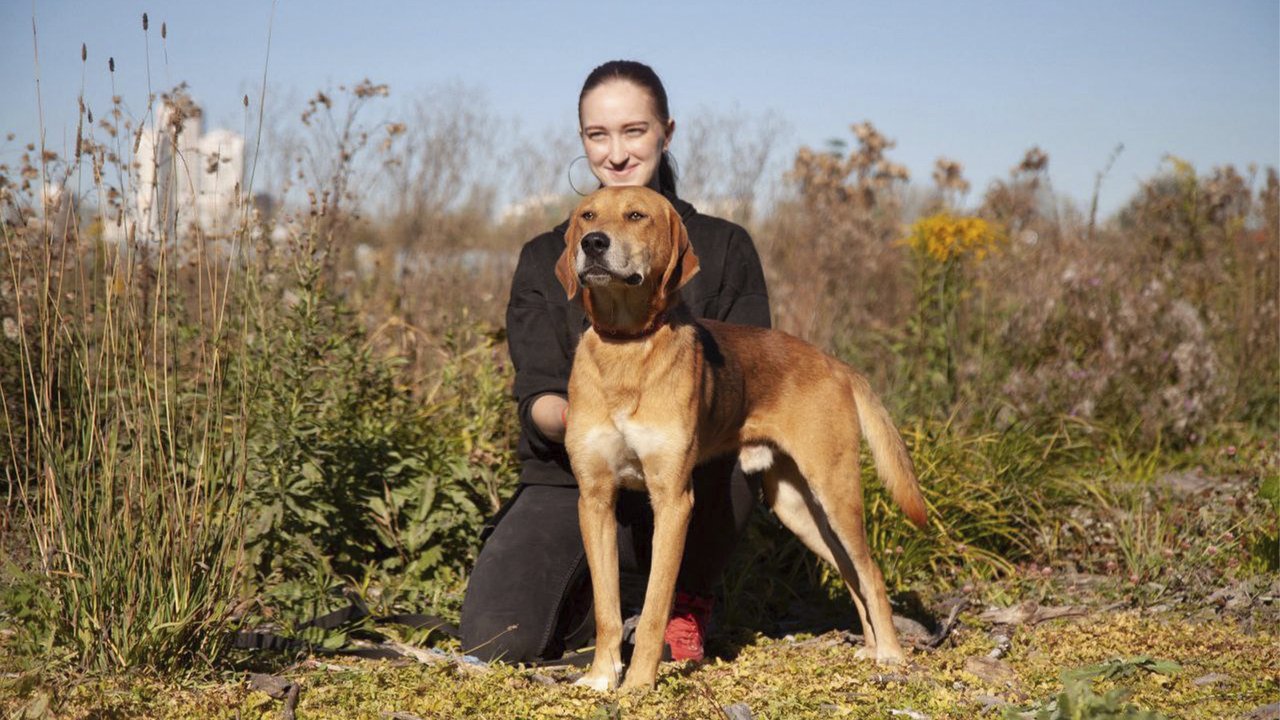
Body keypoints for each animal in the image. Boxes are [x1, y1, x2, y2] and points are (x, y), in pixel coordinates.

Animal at [555, 184, 926, 691]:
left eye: (636, 215)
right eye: (587, 215)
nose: (592, 243)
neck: (628, 346)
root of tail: (835, 363)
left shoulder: (673, 500)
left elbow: (653, 609)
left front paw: (639, 685)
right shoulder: (594, 499)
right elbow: (608, 610)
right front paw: (599, 678)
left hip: (836, 492)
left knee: (871, 572)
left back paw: (890, 653)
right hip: (796, 507)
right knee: (852, 572)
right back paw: (871, 648)